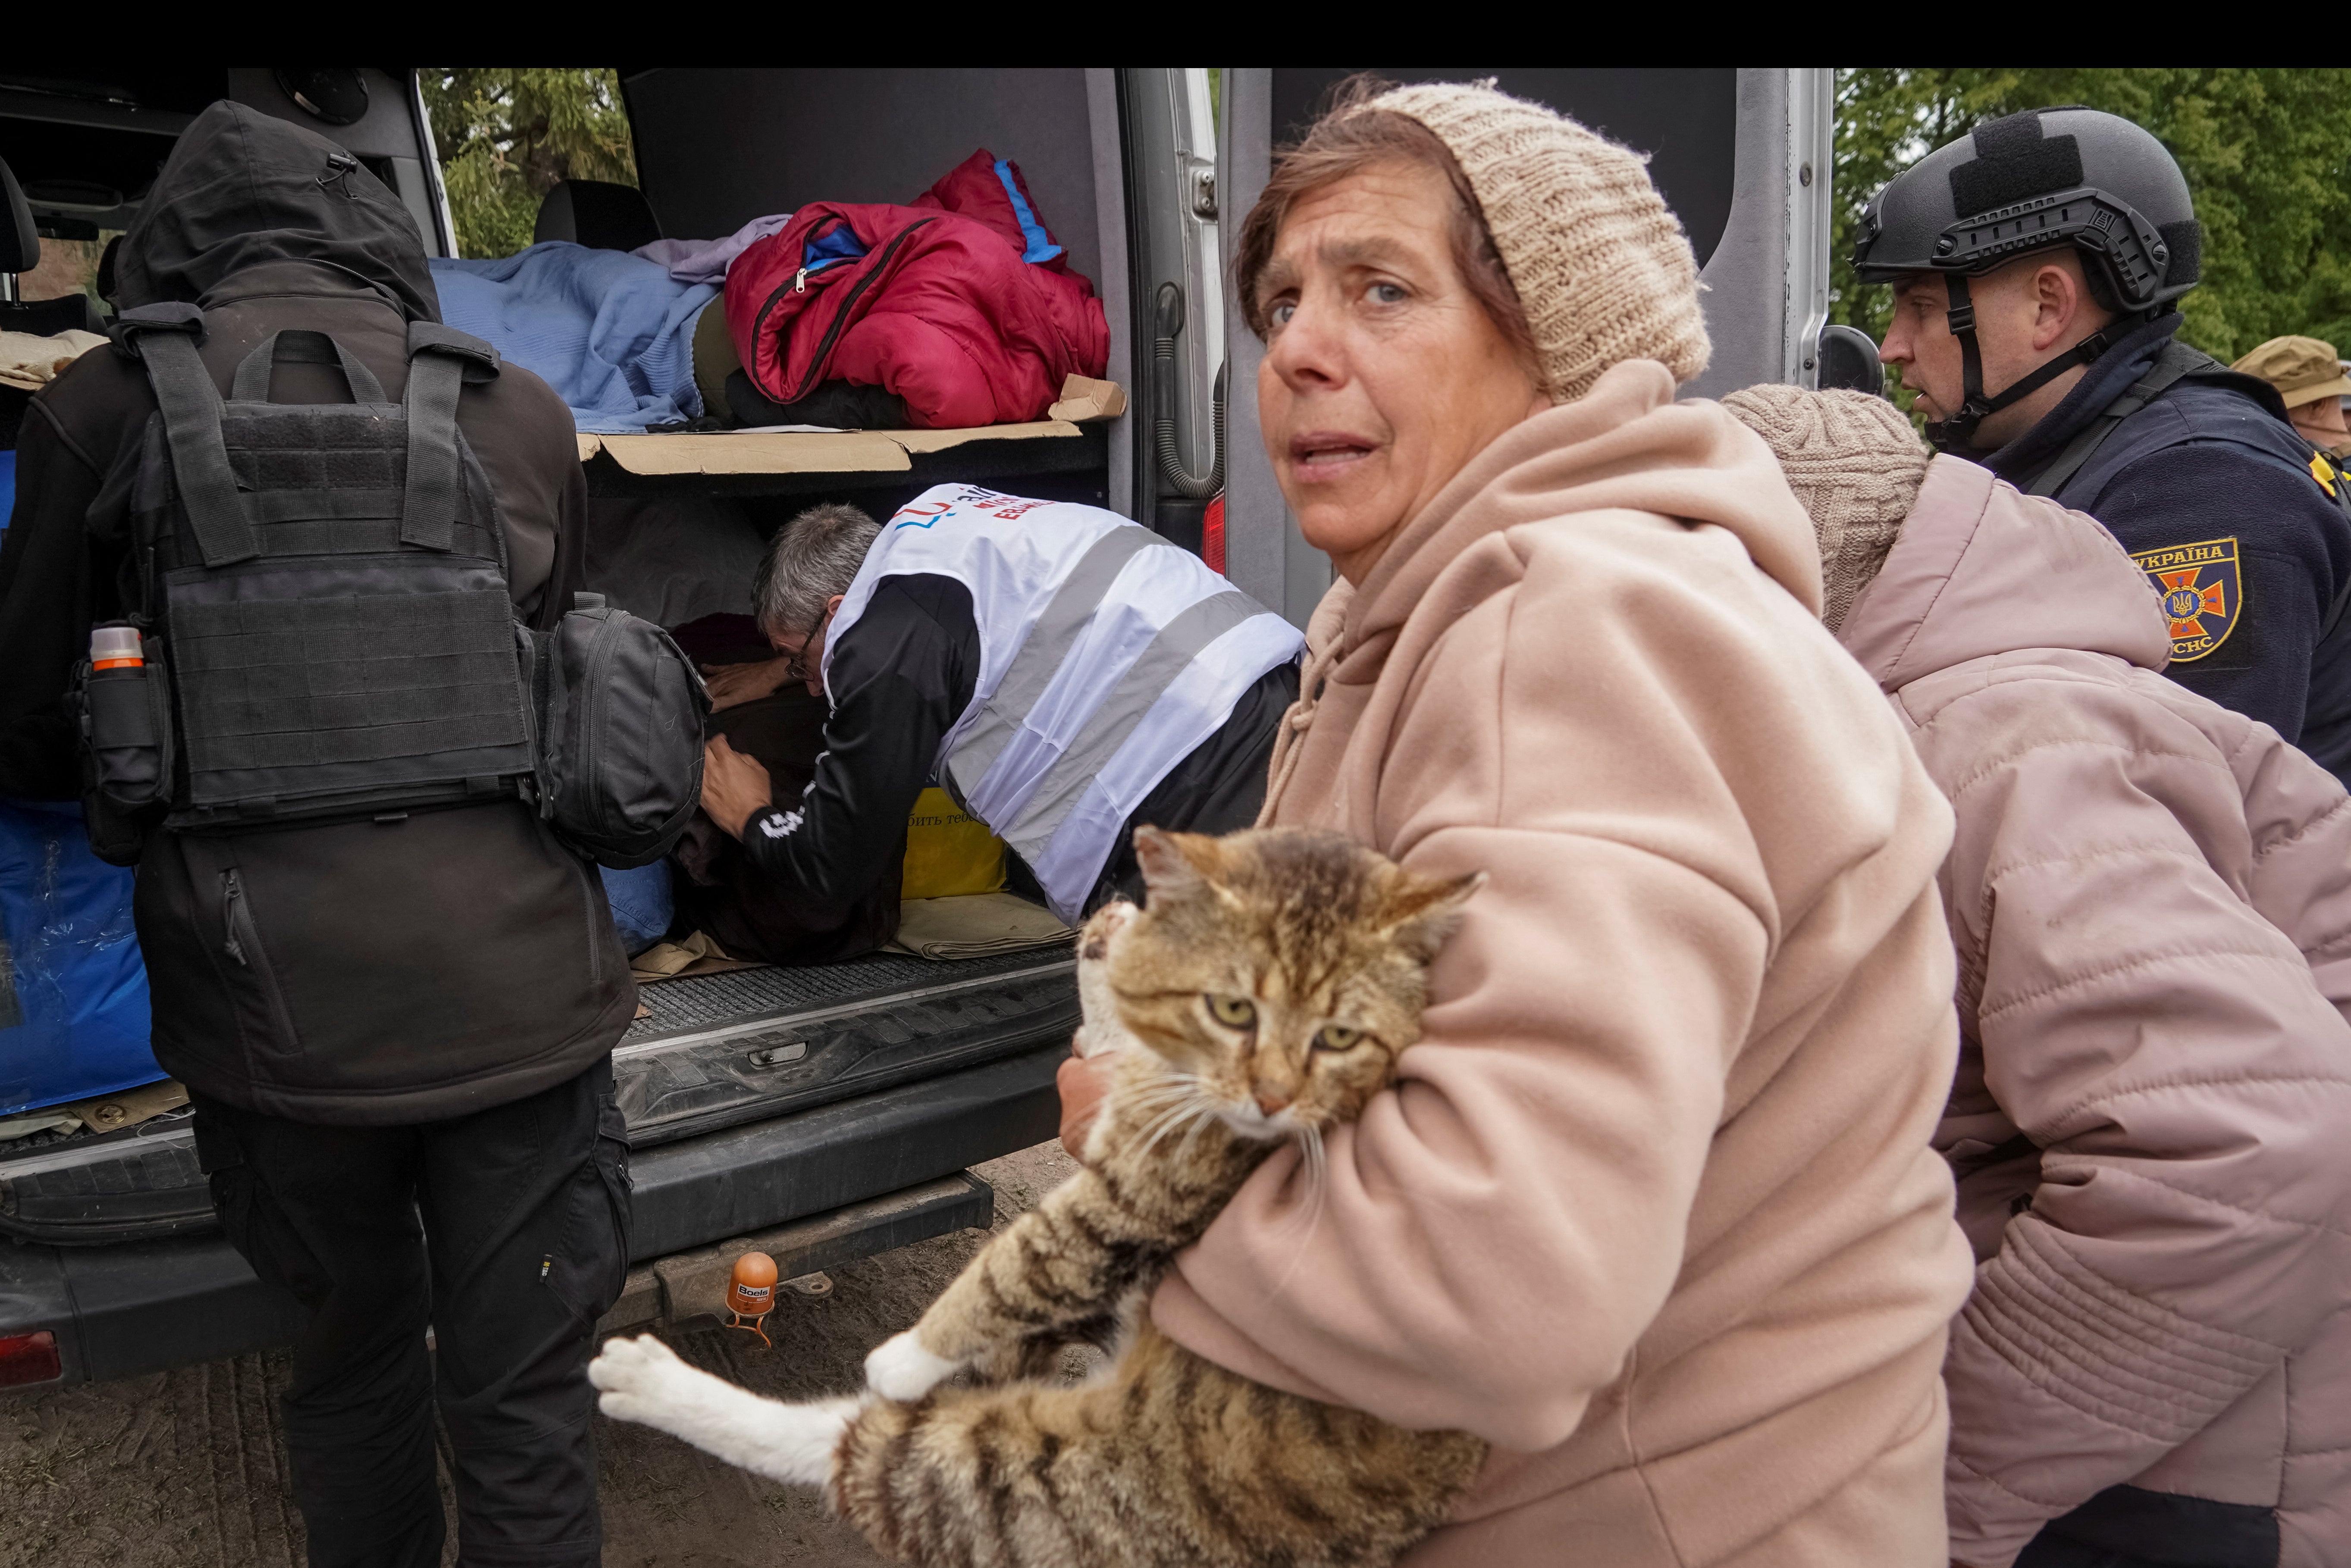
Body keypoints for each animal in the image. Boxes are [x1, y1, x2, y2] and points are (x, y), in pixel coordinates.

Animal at [597, 827, 1495, 1561]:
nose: (1123, 900)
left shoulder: (1132, 1194)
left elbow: (1012, 1268)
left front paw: (905, 1357)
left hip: (1074, 1473)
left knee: (858, 1449)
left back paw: (651, 1377)